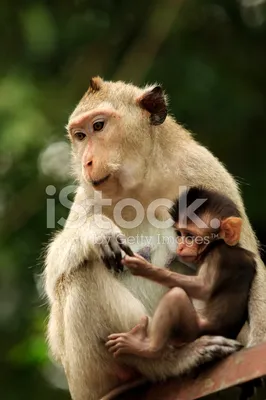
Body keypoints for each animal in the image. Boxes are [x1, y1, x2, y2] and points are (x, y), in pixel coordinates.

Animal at [105, 188, 256, 360]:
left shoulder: (219, 255)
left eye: (189, 236)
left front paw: (144, 267)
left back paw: (146, 347)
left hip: (192, 331)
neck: (220, 244)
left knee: (176, 296)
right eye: (179, 234)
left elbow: (203, 288)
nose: (181, 247)